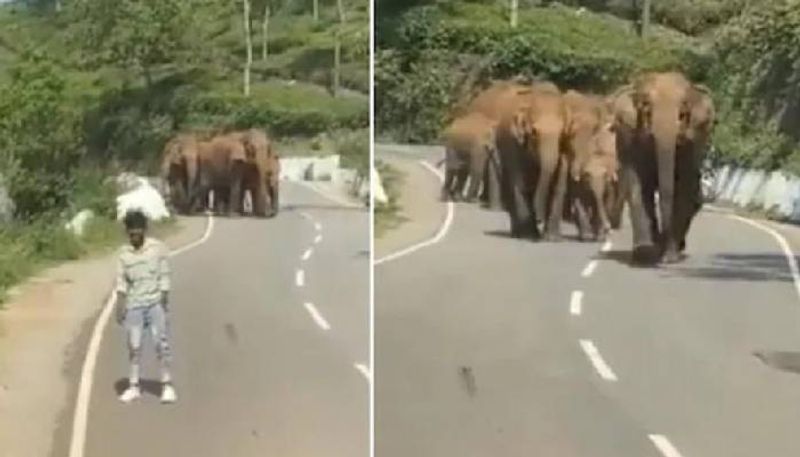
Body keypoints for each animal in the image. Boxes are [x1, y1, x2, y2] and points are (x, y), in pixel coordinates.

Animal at [608, 72, 716, 264]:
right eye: (646, 108)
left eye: (683, 113)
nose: (662, 240)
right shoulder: (629, 137)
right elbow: (638, 185)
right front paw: (644, 255)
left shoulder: (693, 142)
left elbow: (683, 188)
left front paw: (669, 258)